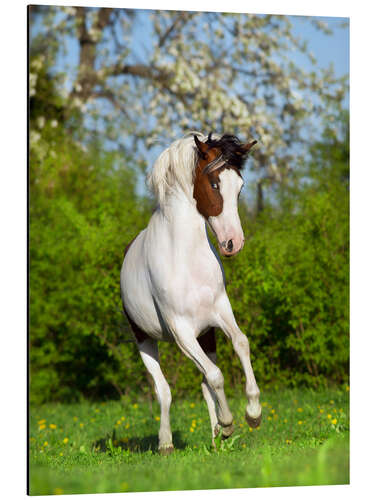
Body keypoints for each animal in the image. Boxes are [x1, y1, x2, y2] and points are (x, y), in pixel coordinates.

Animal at [122, 132, 262, 454]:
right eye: (214, 184)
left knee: (203, 384)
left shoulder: (220, 313)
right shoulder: (181, 331)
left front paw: (252, 414)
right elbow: (216, 375)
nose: (233, 243)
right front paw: (228, 422)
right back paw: (166, 443)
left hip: (205, 336)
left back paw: (215, 439)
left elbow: (241, 344)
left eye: (240, 187)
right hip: (145, 340)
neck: (186, 259)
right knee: (164, 390)